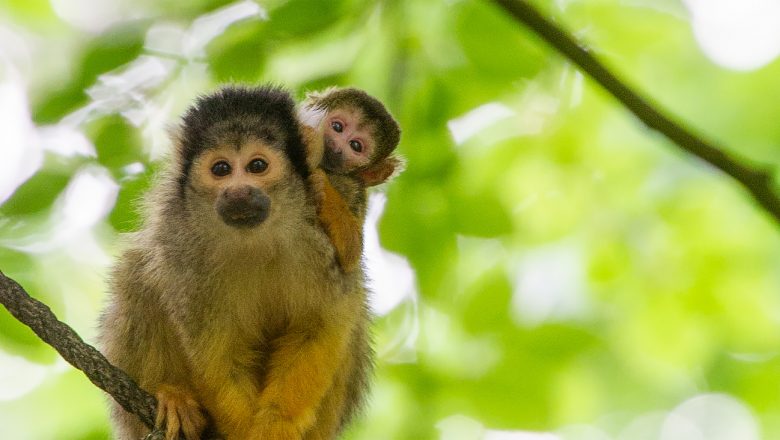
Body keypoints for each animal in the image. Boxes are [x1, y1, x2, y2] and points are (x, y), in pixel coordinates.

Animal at [99, 85, 374, 440]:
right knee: (137, 272)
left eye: (257, 166)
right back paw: (172, 396)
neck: (253, 238)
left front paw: (276, 424)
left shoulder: (322, 237)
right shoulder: (182, 249)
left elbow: (320, 325)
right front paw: (242, 428)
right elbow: (215, 346)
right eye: (221, 170)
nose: (239, 192)